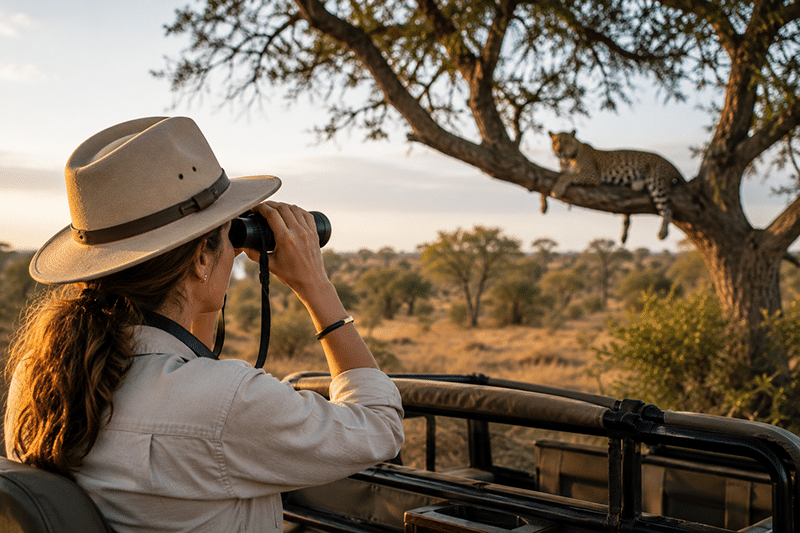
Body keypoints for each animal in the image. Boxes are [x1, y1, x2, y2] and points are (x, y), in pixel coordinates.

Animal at [549, 130, 684, 241]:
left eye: (566, 142)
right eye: (555, 142)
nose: (559, 151)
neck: (567, 160)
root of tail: (672, 165)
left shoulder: (592, 174)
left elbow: (567, 176)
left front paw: (557, 190)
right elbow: (565, 174)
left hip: (656, 181)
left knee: (667, 210)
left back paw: (663, 233)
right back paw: (638, 184)